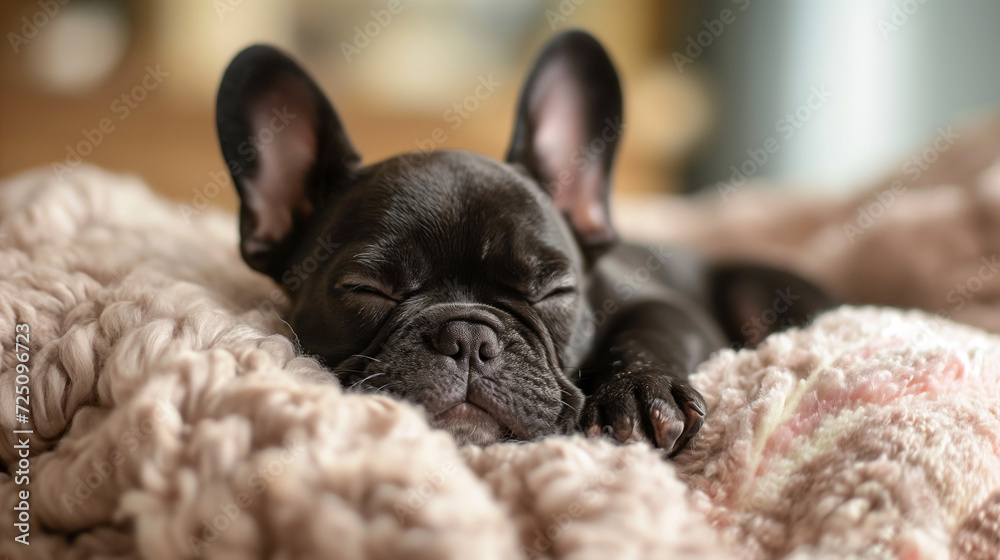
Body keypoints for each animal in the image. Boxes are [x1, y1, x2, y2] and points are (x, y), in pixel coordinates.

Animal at [217, 29, 836, 456]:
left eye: (554, 292)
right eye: (365, 289)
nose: (468, 337)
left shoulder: (664, 305)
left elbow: (650, 329)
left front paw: (640, 391)